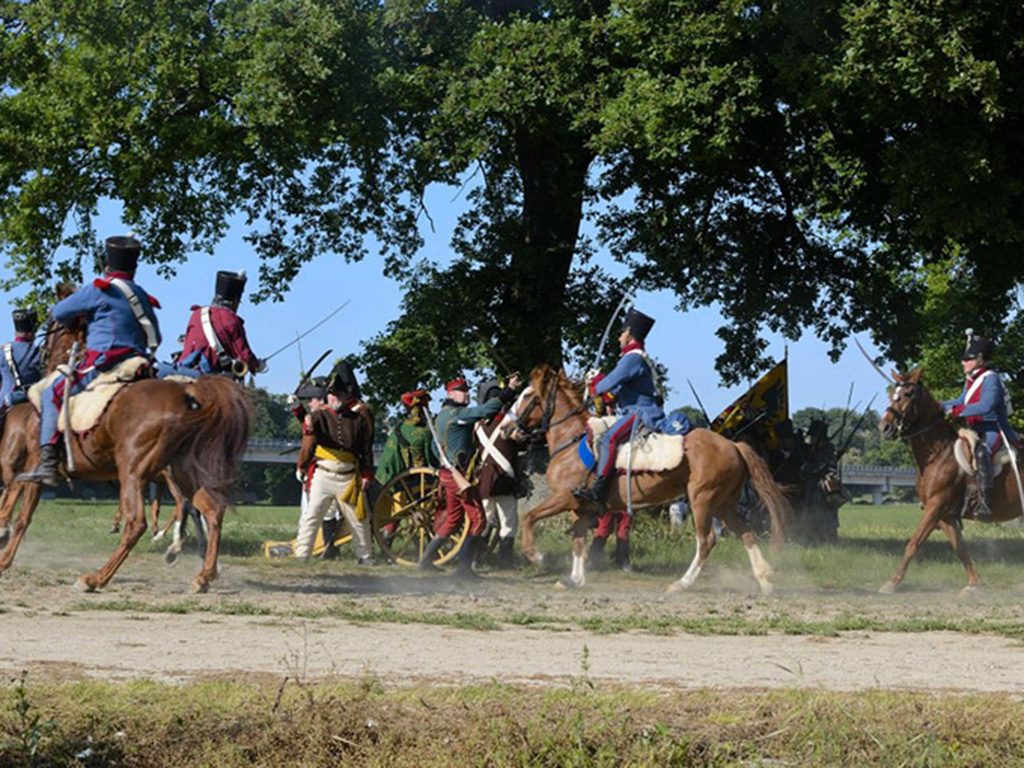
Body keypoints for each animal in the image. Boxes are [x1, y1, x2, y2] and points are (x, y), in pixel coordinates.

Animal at [0, 321, 248, 593]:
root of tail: (188, 395)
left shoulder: (34, 467)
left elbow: (22, 517)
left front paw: (4, 557)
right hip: (182, 473)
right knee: (211, 512)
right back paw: (203, 574)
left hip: (134, 473)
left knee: (139, 522)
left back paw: (96, 577)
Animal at [505, 366, 790, 593]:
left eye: (528, 396)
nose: (507, 428)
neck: (572, 442)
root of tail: (733, 445)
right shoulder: (582, 508)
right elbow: (577, 542)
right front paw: (574, 579)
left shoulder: (564, 497)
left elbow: (530, 518)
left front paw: (536, 556)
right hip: (723, 503)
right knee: (746, 534)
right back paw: (764, 580)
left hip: (703, 500)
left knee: (706, 541)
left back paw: (682, 584)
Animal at [872, 368, 1024, 593]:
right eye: (893, 394)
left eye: (908, 394)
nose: (884, 427)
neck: (939, 455)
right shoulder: (945, 515)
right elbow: (960, 548)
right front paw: (973, 584)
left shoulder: (936, 506)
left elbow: (914, 543)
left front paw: (892, 582)